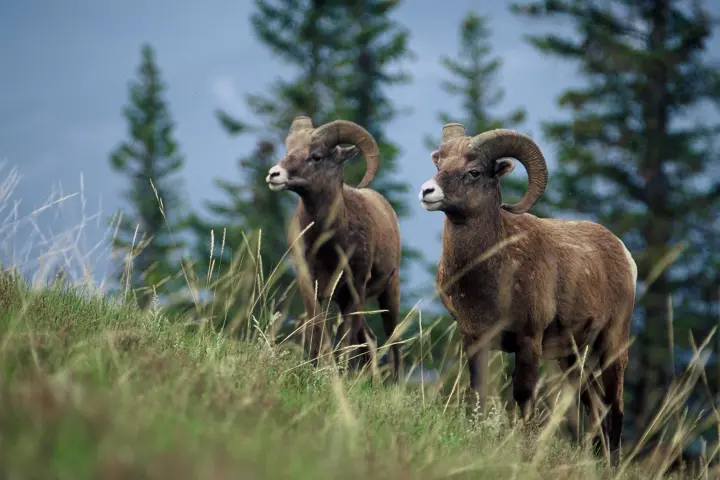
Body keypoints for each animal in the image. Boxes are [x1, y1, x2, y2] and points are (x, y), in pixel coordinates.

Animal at [265, 116, 402, 381]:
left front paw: (341, 372)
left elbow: (345, 338)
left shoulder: (355, 286)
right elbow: (317, 326)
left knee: (391, 341)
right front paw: (314, 367)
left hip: (388, 293)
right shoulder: (311, 284)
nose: (274, 174)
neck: (327, 244)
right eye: (288, 150)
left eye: (316, 156)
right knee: (369, 338)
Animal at [418, 123, 637, 466]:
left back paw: (612, 465)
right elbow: (478, 391)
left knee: (615, 405)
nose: (428, 192)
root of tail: (623, 253)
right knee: (596, 406)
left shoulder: (528, 340)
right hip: (571, 358)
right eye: (439, 165)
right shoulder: (474, 339)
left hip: (612, 345)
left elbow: (522, 396)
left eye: (474, 172)